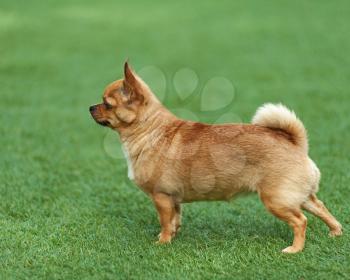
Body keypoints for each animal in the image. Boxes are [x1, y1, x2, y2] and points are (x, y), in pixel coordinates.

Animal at [89, 61, 342, 254]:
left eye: (107, 104)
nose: (91, 107)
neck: (149, 129)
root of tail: (296, 143)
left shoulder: (161, 197)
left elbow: (164, 222)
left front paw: (162, 242)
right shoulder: (174, 199)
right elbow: (175, 219)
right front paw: (173, 237)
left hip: (277, 200)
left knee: (301, 221)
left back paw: (294, 249)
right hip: (300, 196)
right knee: (321, 208)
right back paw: (335, 232)